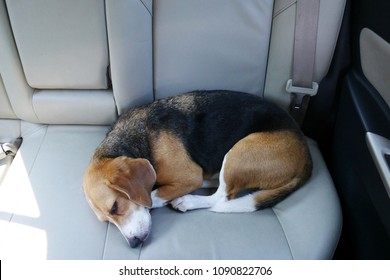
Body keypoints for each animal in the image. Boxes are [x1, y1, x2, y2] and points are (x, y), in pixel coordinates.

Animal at [82, 91, 310, 248]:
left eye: (115, 206)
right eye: (107, 221)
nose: (134, 243)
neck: (138, 136)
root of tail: (307, 157)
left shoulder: (189, 177)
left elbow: (154, 196)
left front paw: (157, 198)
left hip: (240, 151)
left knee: (222, 197)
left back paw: (187, 201)